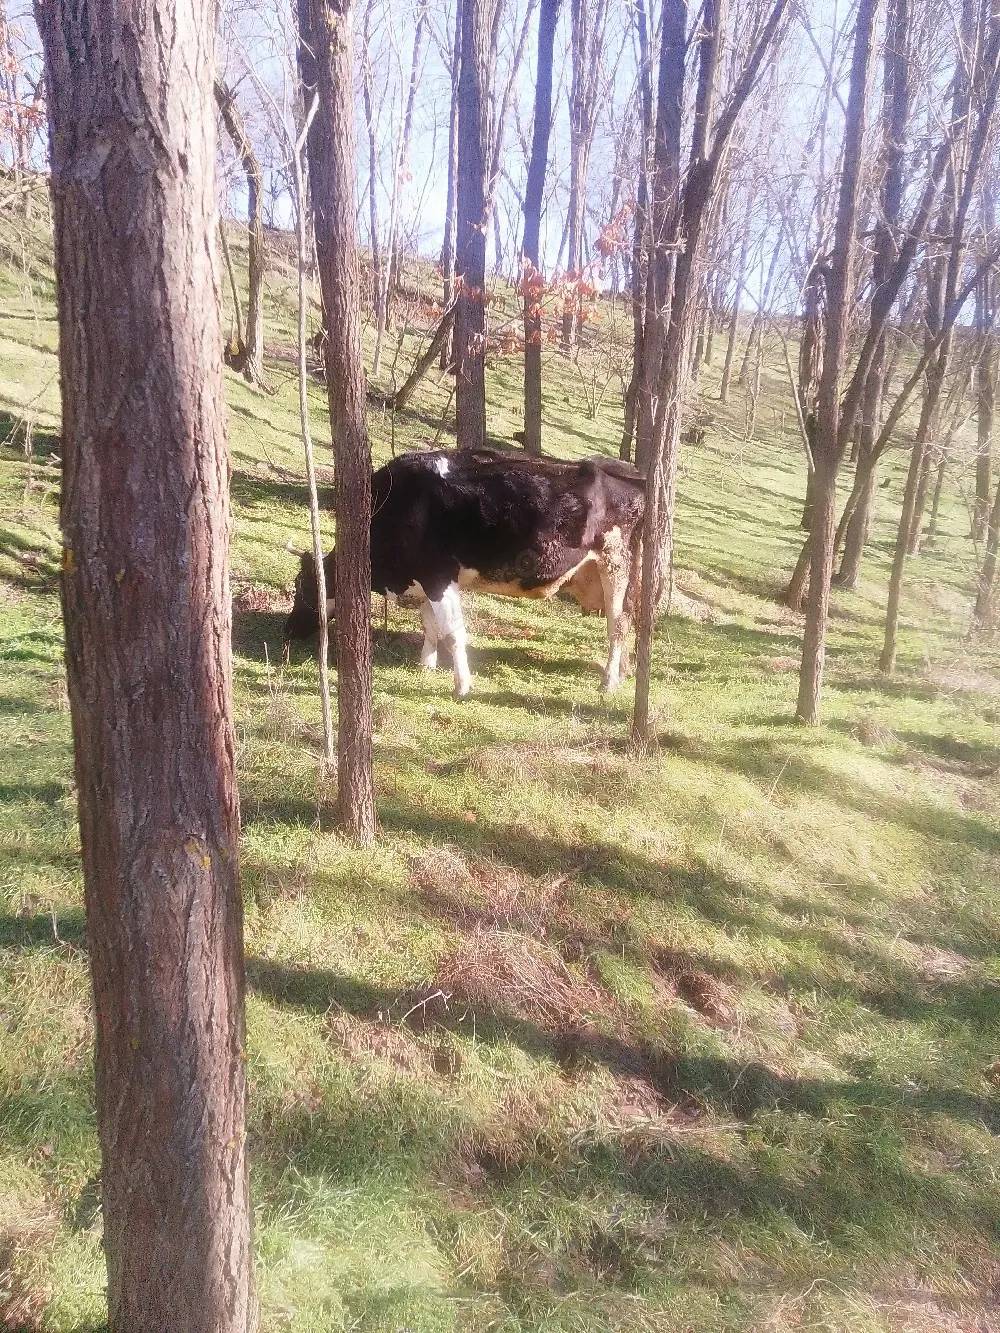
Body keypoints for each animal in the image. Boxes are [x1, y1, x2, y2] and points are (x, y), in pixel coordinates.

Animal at [283, 448, 645, 696]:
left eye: (302, 586)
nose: (287, 630)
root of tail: (628, 471)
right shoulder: (426, 581)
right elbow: (429, 624)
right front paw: (426, 664)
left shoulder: (438, 577)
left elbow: (453, 632)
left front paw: (462, 685)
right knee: (627, 619)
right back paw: (622, 673)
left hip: (615, 561)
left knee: (618, 624)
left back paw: (609, 682)